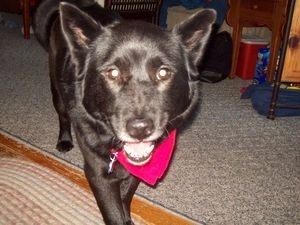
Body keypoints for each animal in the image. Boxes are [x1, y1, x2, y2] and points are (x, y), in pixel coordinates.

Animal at [34, 0, 214, 224]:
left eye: (163, 73)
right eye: (113, 73)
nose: (140, 129)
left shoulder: (135, 170)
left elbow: (125, 197)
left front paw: (127, 216)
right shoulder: (98, 175)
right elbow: (113, 212)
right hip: (57, 90)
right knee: (63, 115)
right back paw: (65, 140)